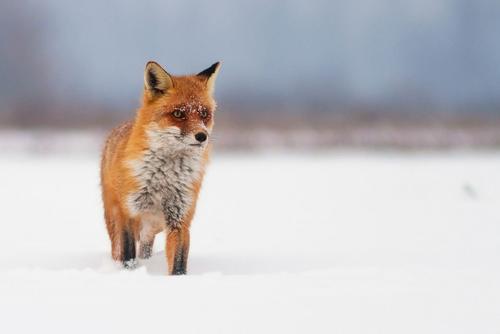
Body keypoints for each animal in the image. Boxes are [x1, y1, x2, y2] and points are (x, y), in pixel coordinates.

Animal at [100, 60, 220, 274]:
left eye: (204, 114)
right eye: (178, 113)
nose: (202, 136)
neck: (165, 179)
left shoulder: (180, 218)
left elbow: (178, 262)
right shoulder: (128, 212)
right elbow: (128, 255)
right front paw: (129, 273)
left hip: (153, 226)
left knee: (146, 247)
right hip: (115, 218)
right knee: (117, 249)